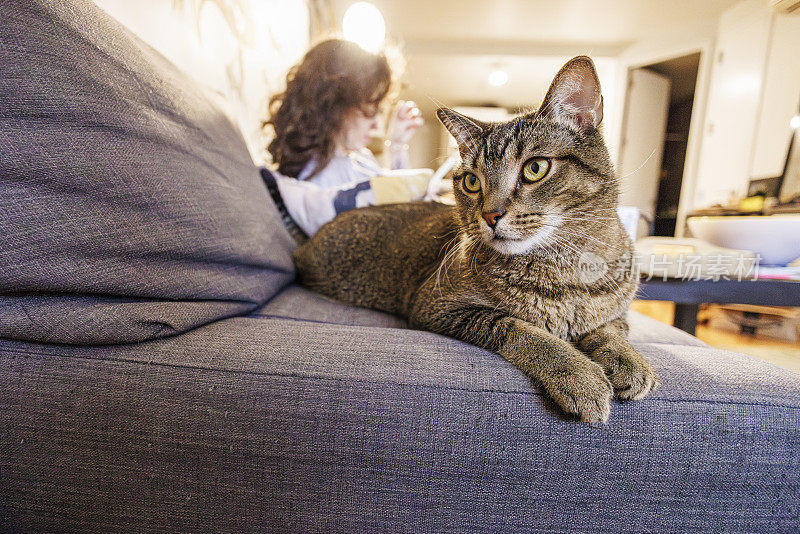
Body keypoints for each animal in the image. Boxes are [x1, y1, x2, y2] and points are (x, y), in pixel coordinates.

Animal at [294, 54, 656, 422]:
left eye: (535, 168)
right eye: (471, 181)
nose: (490, 215)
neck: (564, 269)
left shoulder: (616, 312)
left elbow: (611, 330)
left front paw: (629, 360)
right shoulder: (437, 305)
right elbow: (525, 331)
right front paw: (579, 374)